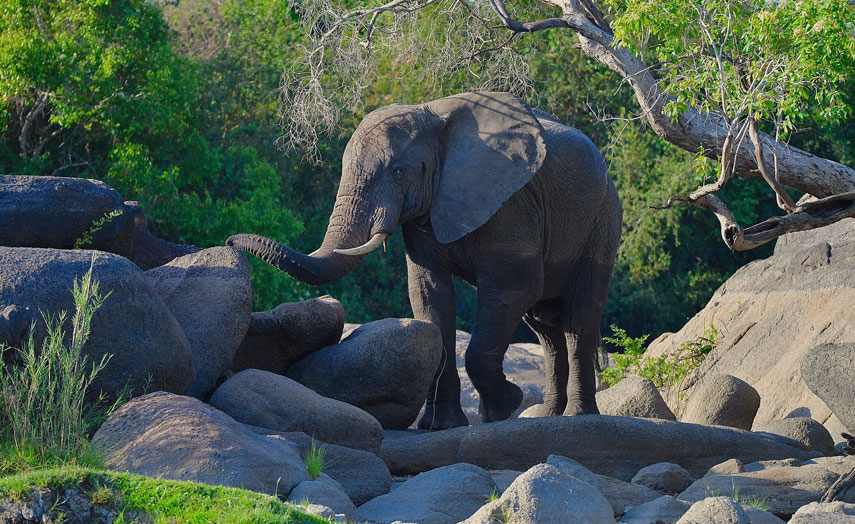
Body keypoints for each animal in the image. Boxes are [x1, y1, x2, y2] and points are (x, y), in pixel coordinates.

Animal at [227, 91, 620, 430]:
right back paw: (549, 415)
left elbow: (513, 287)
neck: (434, 117)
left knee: (579, 318)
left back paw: (578, 416)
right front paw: (441, 425)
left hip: (602, 219)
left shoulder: (512, 201)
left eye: (398, 171)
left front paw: (503, 406)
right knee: (546, 328)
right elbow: (429, 294)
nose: (232, 240)